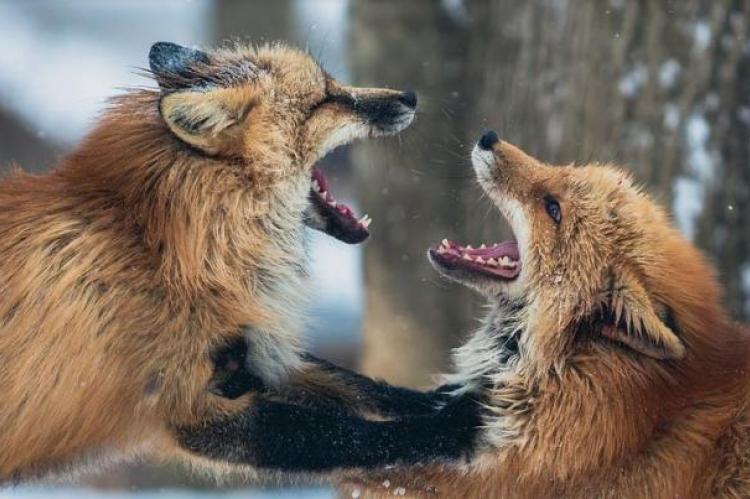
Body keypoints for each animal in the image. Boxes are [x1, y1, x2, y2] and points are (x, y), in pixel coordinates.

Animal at [0, 42, 488, 480]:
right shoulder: (192, 405)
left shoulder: (254, 355)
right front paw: (451, 427)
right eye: (324, 99)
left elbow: (360, 385)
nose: (410, 96)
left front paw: (447, 398)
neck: (164, 250)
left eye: (332, 84)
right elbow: (347, 435)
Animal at [340, 131, 750, 498]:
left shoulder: (493, 476)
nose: (488, 137)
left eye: (553, 209)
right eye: (563, 169)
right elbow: (370, 392)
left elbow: (363, 448)